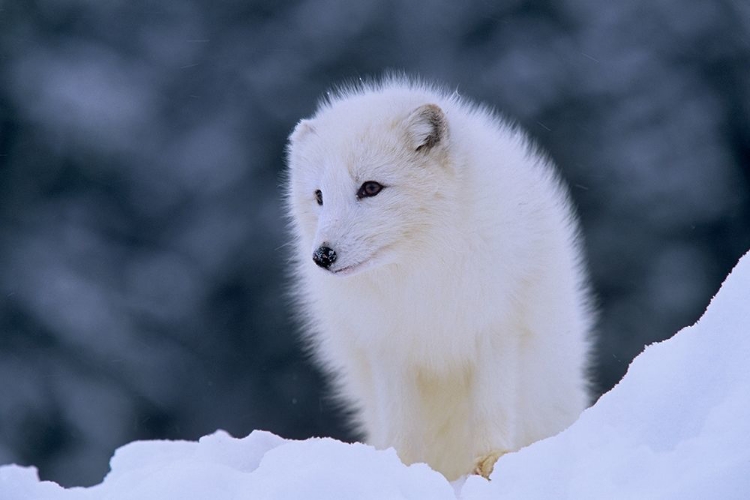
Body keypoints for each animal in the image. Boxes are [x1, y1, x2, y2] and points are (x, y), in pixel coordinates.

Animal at [286, 76, 592, 478]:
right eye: (319, 196)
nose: (322, 256)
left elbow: (491, 406)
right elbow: (401, 422)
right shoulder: (387, 348)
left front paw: (491, 461)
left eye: (370, 188)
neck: (420, 273)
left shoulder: (498, 329)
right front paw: (400, 466)